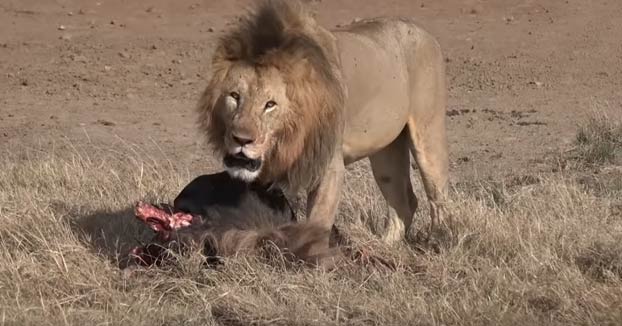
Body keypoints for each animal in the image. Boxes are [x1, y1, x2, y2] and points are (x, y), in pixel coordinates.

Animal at [197, 0, 450, 247]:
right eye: (234, 96)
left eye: (270, 104)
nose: (241, 140)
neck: (288, 138)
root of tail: (425, 33)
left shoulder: (329, 166)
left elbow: (317, 223)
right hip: (386, 152)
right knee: (404, 201)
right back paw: (384, 247)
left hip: (428, 135)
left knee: (437, 195)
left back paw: (437, 242)